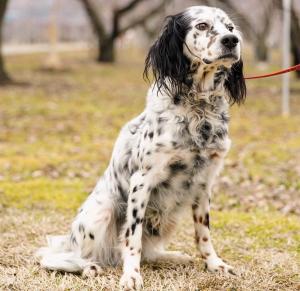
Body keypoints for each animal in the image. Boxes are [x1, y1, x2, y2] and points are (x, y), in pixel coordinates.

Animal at [36, 5, 246, 291]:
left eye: (230, 27)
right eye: (202, 26)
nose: (231, 41)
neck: (198, 107)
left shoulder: (205, 182)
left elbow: (203, 234)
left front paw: (215, 265)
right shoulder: (142, 180)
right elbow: (132, 238)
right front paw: (132, 275)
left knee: (148, 252)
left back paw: (174, 256)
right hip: (102, 210)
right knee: (62, 256)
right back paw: (88, 266)